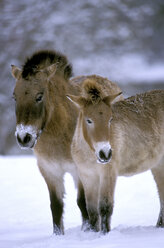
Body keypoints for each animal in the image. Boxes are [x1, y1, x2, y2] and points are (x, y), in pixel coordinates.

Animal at [10, 49, 123, 233]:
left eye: (39, 96)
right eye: (15, 97)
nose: (23, 137)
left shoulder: (80, 171)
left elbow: (83, 204)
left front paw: (88, 231)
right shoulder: (50, 171)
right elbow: (56, 206)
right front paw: (58, 234)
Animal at [67, 79, 164, 234]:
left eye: (110, 119)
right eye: (89, 120)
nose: (105, 153)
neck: (89, 154)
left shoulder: (108, 174)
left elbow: (105, 207)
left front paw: (105, 234)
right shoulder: (87, 177)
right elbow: (92, 210)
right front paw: (93, 233)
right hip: (158, 165)